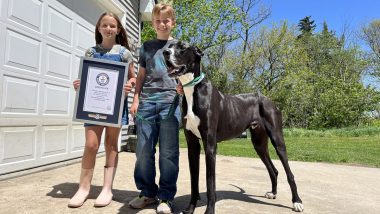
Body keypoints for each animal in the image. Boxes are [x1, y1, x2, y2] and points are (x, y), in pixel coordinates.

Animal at [163, 41, 302, 213]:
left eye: (182, 47)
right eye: (170, 46)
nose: (165, 52)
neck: (192, 89)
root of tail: (268, 99)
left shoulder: (210, 145)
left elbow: (210, 184)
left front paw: (209, 210)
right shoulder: (192, 145)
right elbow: (193, 181)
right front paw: (190, 209)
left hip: (277, 139)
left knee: (289, 172)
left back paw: (297, 201)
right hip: (259, 143)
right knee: (273, 169)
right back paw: (273, 192)